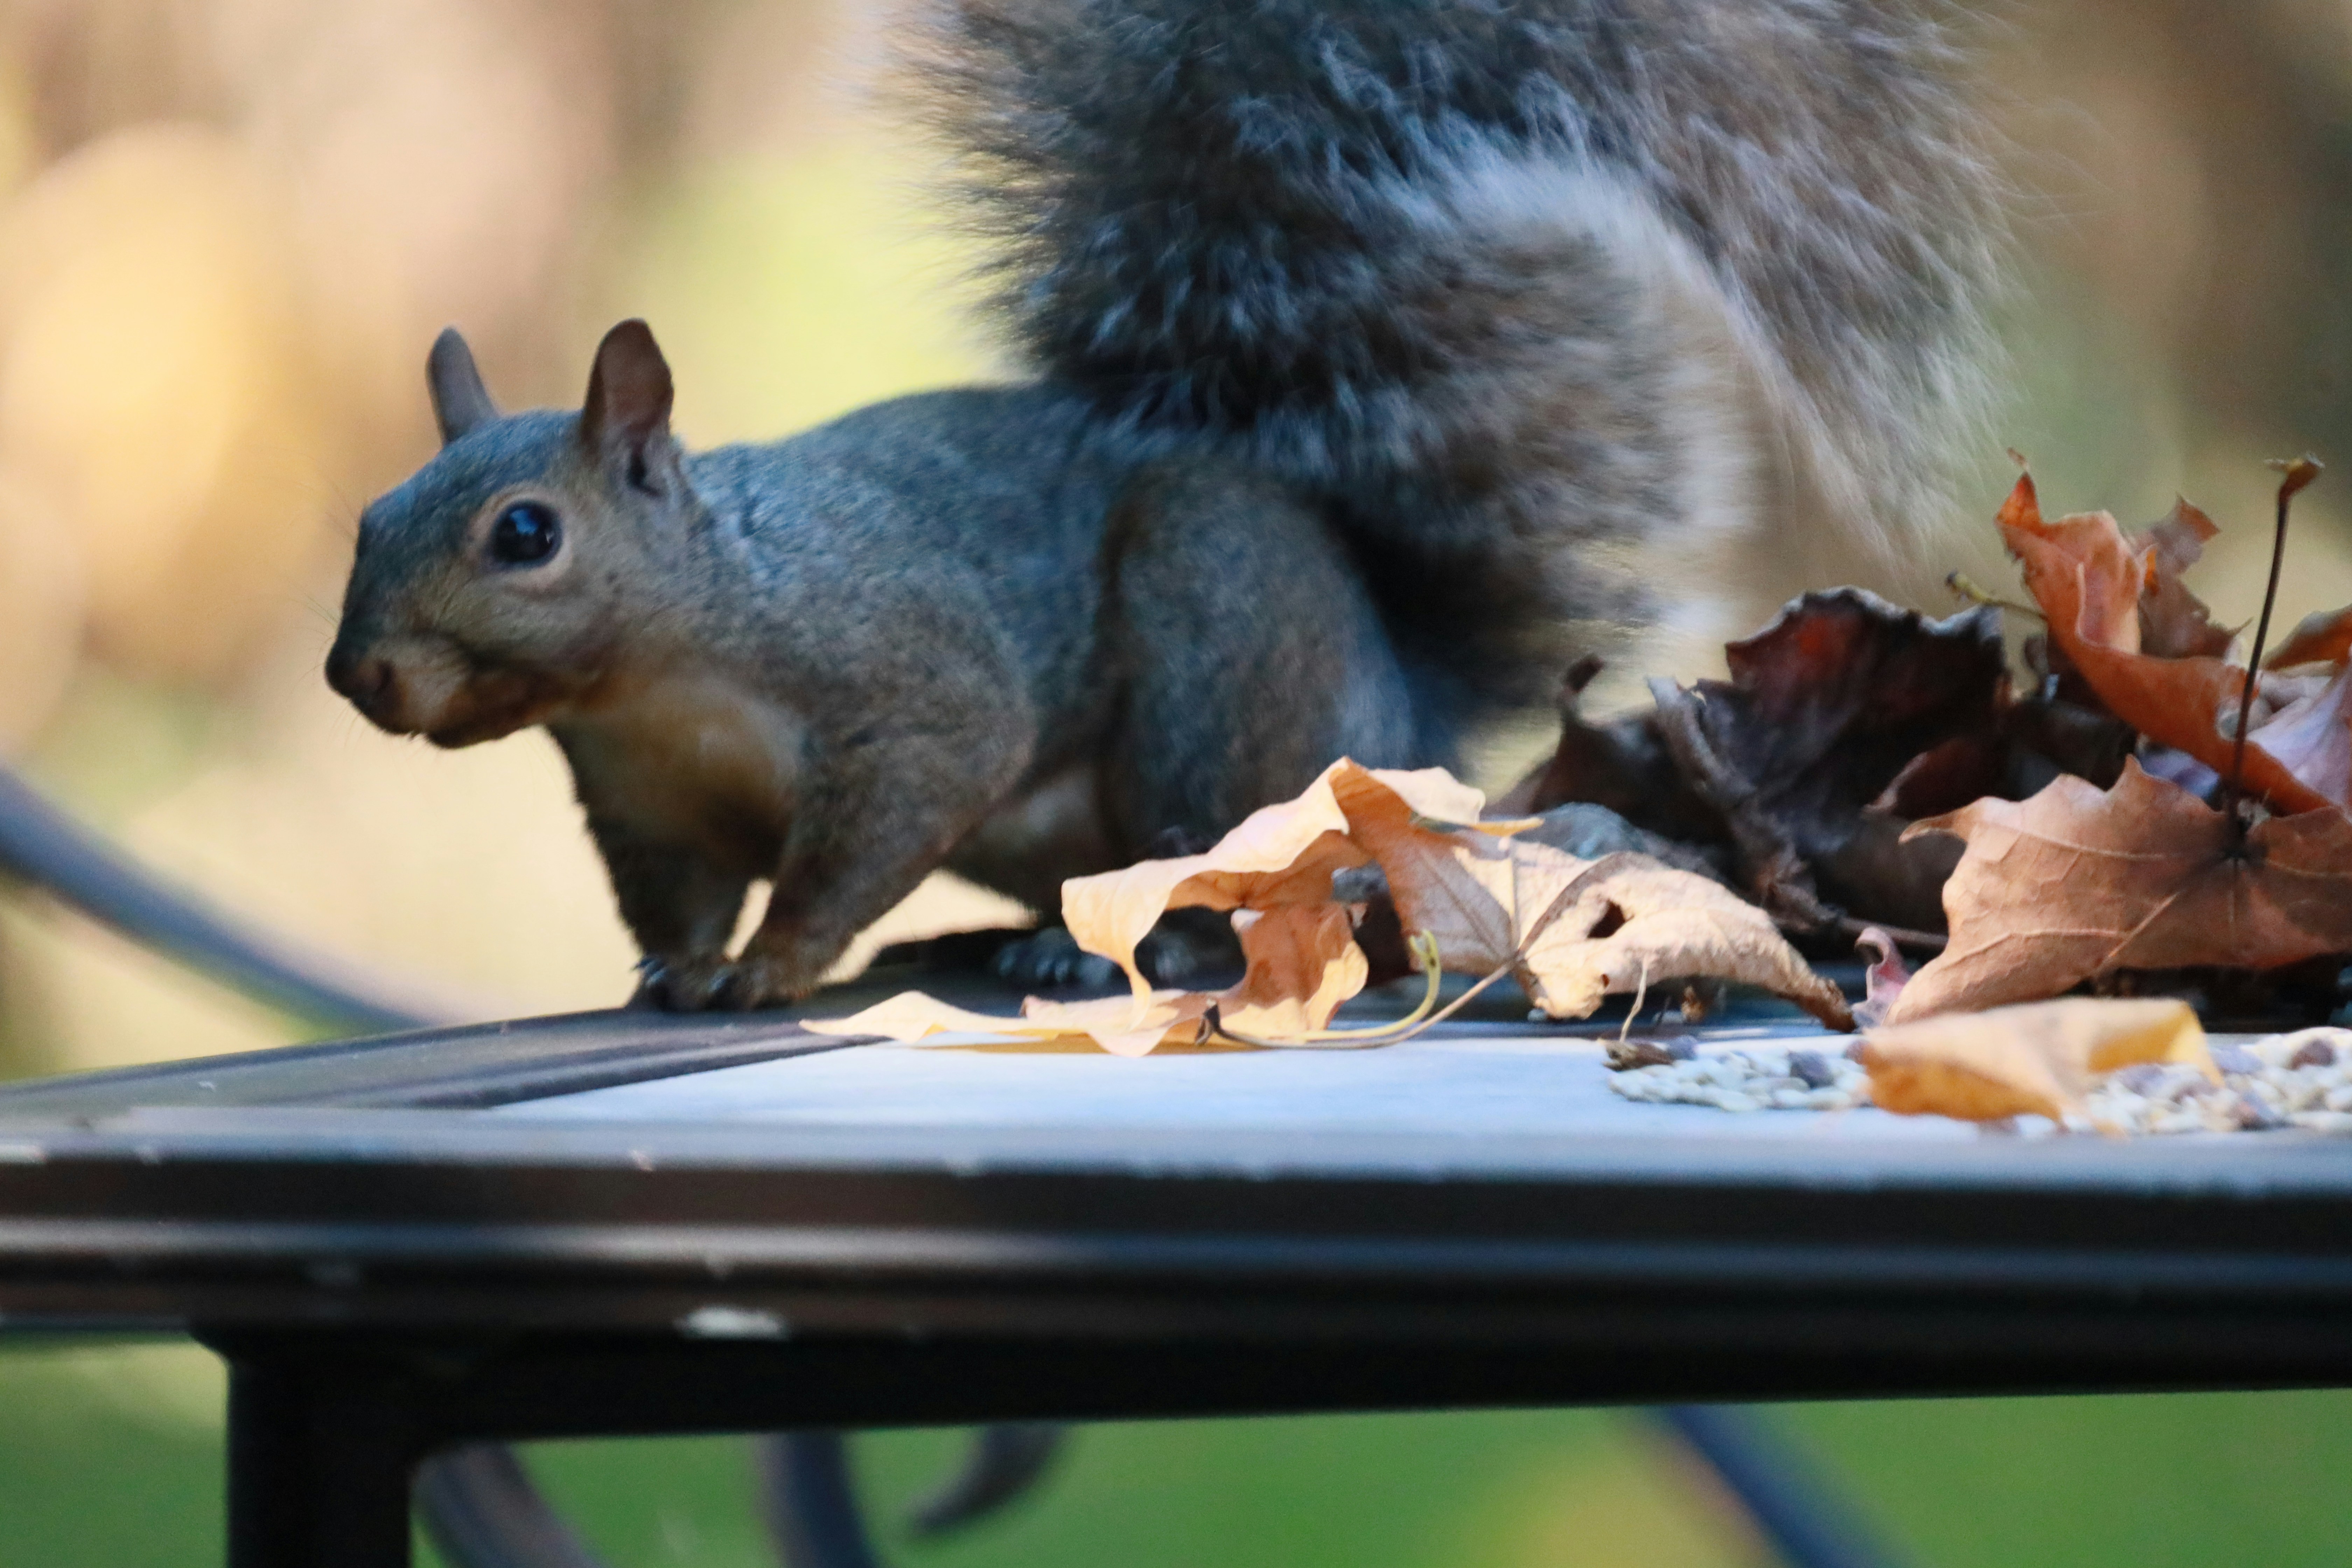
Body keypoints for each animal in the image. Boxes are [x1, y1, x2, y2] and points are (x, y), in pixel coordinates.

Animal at [325, 0, 2002, 1010]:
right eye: (366, 519)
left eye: (525, 533)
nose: (359, 675)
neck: (672, 668)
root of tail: (1401, 717)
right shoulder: (640, 798)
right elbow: (672, 898)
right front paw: (680, 972)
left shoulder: (906, 675)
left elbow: (876, 822)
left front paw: (776, 962)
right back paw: (1002, 933)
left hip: (1213, 663)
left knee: (1248, 880)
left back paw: (1123, 946)